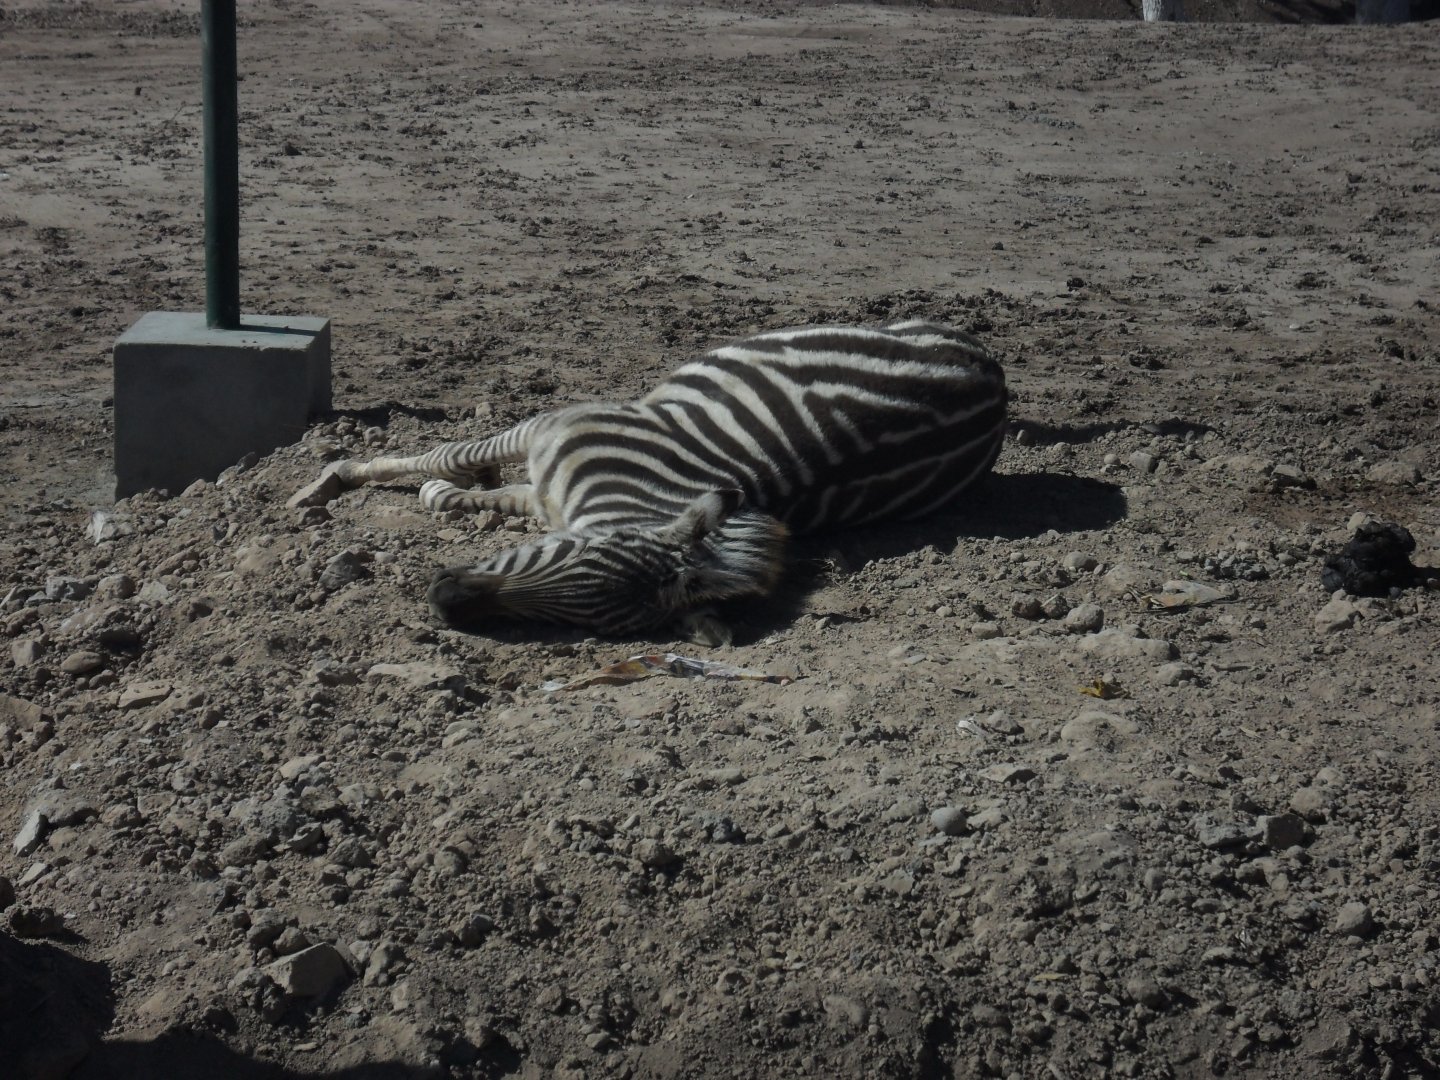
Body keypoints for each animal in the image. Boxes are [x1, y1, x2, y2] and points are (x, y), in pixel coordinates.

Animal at [291, 320, 1007, 644]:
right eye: (571, 550)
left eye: (576, 622)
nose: (443, 601)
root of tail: (998, 383)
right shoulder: (552, 437)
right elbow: (447, 456)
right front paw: (333, 477)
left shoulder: (551, 461)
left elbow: (458, 477)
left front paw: (431, 491)